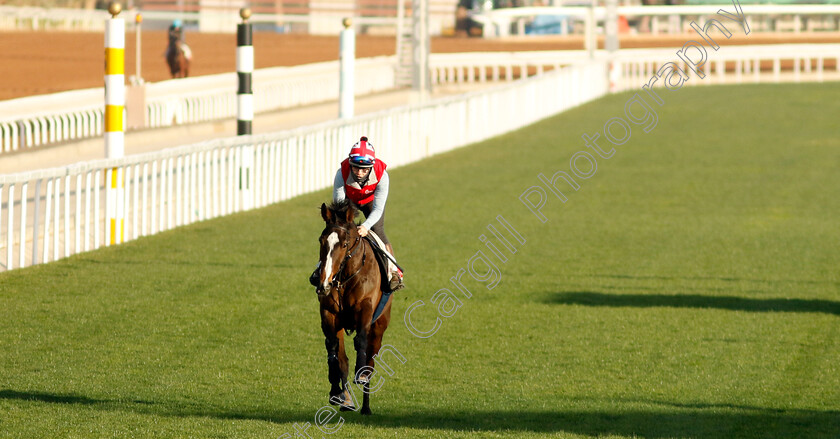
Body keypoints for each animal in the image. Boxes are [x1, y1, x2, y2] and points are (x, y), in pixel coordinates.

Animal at [316, 200, 392, 416]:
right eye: (321, 241)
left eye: (344, 244)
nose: (324, 282)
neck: (345, 278)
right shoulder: (329, 313)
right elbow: (334, 349)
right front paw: (335, 391)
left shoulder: (365, 307)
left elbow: (361, 340)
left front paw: (361, 375)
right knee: (343, 358)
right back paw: (346, 399)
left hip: (380, 326)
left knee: (371, 361)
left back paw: (366, 405)